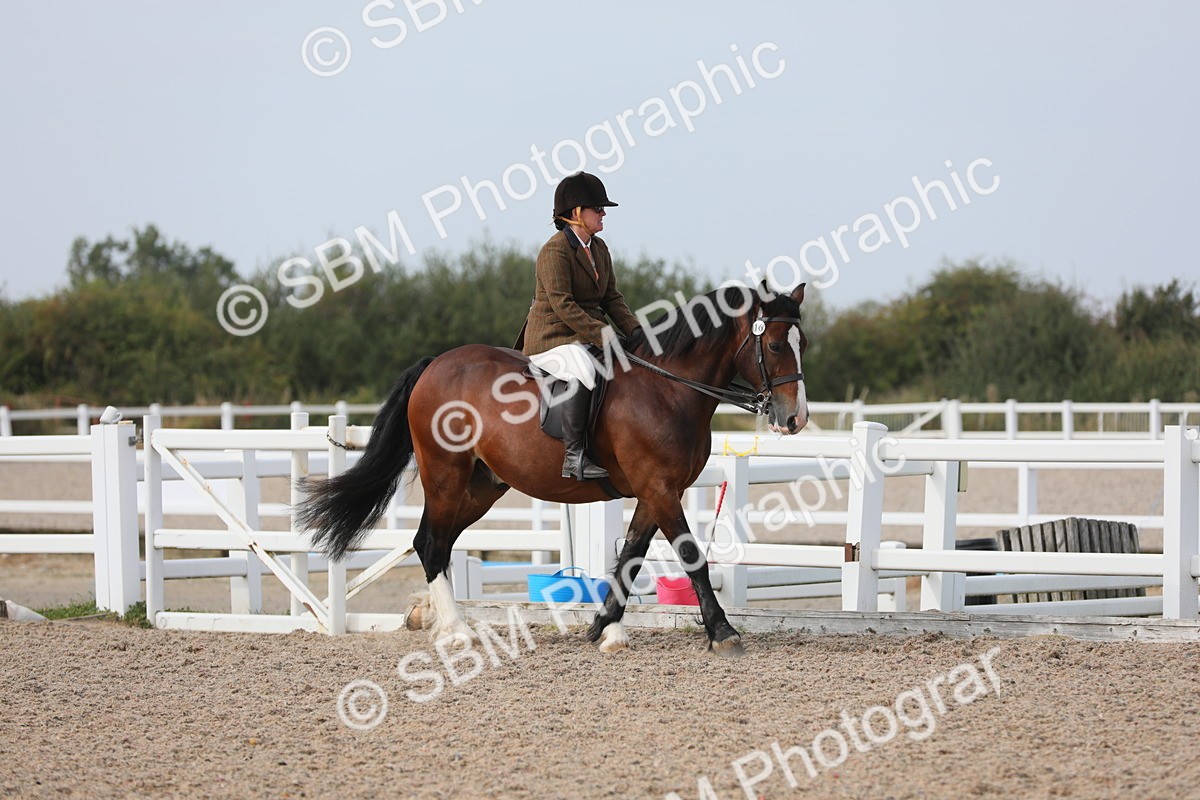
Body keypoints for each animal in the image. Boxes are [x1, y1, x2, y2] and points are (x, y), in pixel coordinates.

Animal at [295, 281, 808, 656]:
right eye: (775, 344)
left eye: (802, 342)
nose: (795, 419)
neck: (668, 389)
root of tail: (435, 364)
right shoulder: (660, 488)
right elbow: (691, 555)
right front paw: (723, 633)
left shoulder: (656, 492)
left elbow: (631, 556)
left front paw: (604, 628)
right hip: (445, 475)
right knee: (432, 544)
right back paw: (458, 632)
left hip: (482, 487)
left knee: (433, 543)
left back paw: (438, 622)